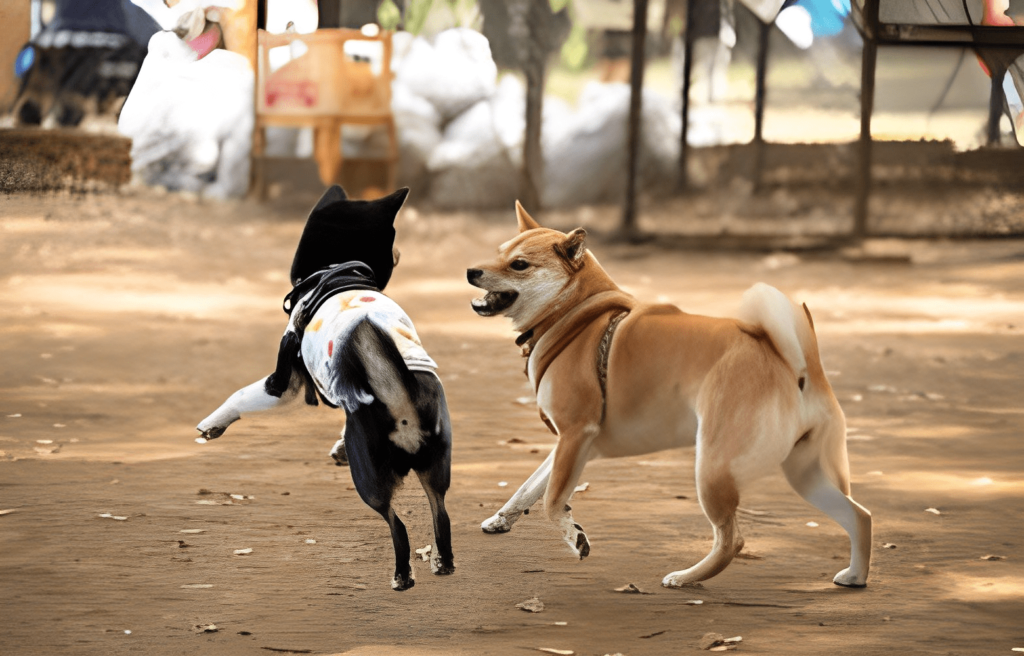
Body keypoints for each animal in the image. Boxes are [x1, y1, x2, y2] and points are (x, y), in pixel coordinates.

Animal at [197, 184, 454, 589]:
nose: (400, 252)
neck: (335, 271)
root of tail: (399, 397)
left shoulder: (282, 385)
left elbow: (240, 395)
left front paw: (212, 424)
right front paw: (336, 446)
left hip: (370, 482)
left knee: (396, 524)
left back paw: (401, 575)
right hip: (435, 470)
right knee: (439, 513)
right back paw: (442, 562)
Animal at [464, 202, 872, 585]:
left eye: (519, 264)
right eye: (498, 252)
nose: (470, 271)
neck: (577, 317)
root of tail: (792, 363)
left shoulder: (576, 434)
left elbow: (551, 501)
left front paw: (574, 536)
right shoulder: (572, 444)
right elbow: (529, 488)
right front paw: (501, 519)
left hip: (712, 468)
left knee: (733, 540)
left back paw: (686, 578)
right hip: (806, 472)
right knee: (860, 515)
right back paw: (855, 577)